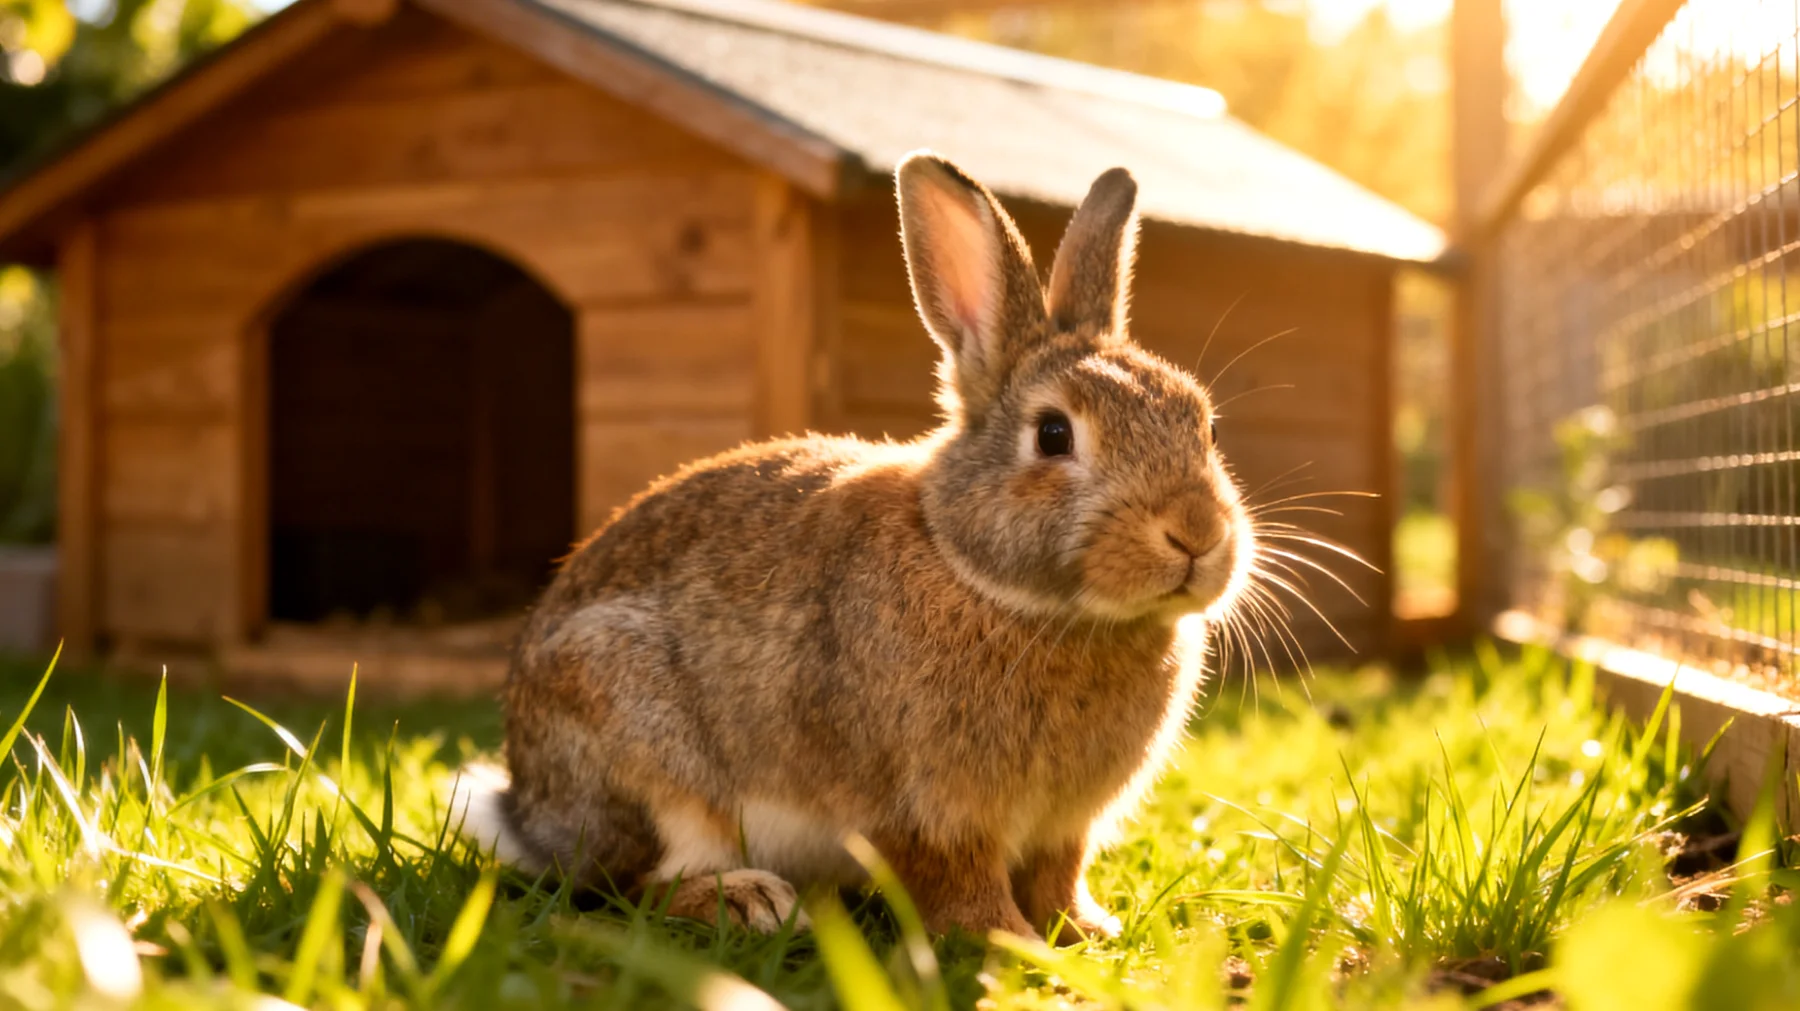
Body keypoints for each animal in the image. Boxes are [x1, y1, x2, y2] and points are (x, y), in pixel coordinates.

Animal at [451, 151, 1252, 941]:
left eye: (1207, 425)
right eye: (1054, 434)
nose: (1197, 534)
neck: (989, 581)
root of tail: (529, 811)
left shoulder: (1064, 825)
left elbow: (1059, 874)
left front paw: (1086, 933)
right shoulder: (928, 811)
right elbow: (960, 882)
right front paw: (1012, 944)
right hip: (640, 748)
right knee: (632, 885)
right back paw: (752, 902)